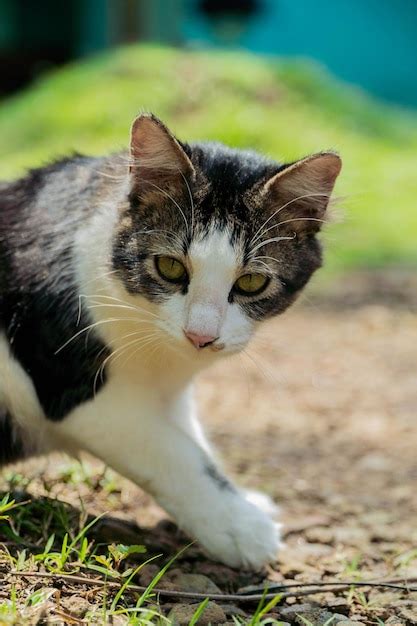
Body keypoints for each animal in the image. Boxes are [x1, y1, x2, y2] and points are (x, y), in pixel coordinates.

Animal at [0, 112, 340, 564]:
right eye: (170, 267)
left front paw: (240, 503)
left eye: (252, 282)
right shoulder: (71, 384)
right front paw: (241, 527)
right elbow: (174, 452)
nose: (200, 335)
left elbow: (193, 440)